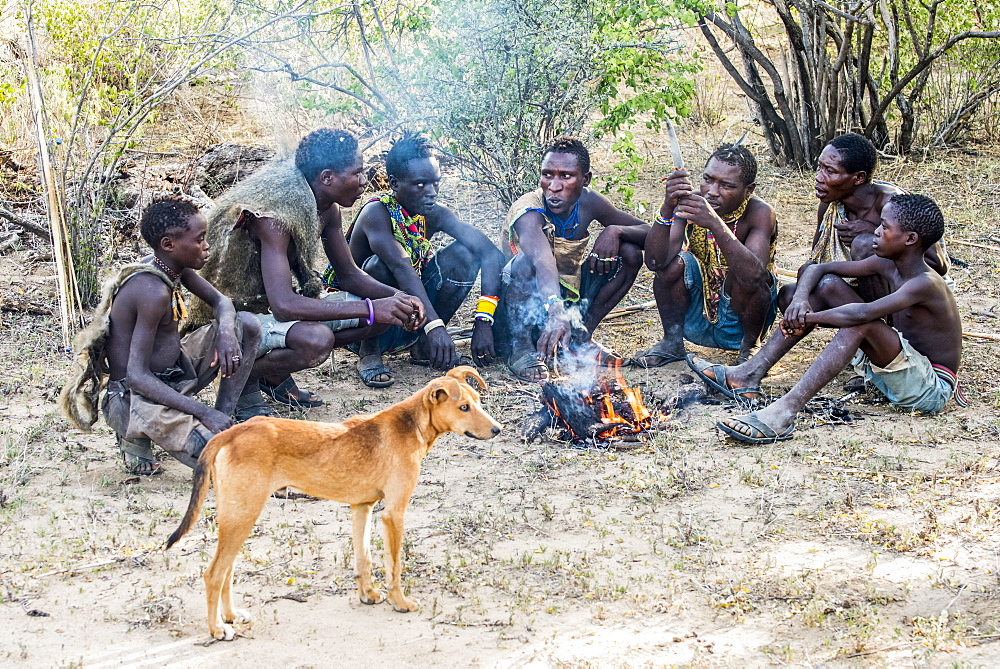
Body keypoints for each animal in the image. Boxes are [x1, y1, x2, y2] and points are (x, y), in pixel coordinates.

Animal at [168, 368, 504, 640]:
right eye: (463, 407)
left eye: (478, 401)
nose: (498, 429)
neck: (411, 425)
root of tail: (230, 432)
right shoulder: (394, 514)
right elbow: (394, 566)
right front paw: (400, 602)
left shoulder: (362, 508)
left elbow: (363, 558)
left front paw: (368, 595)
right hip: (242, 514)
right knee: (213, 573)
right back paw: (216, 629)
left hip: (238, 515)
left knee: (227, 570)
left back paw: (231, 616)